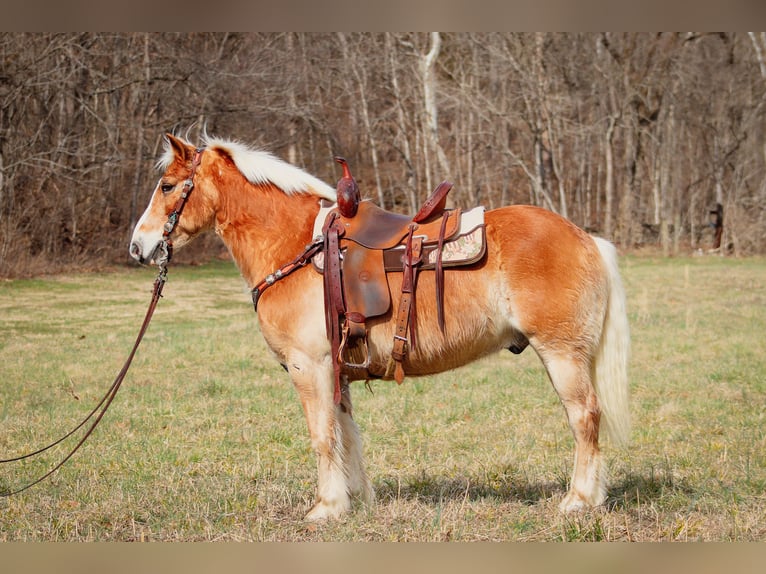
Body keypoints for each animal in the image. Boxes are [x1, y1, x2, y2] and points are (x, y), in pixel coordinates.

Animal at [130, 135, 632, 520]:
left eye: (168, 185)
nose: (138, 246)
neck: (294, 245)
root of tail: (586, 238)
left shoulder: (309, 367)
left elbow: (322, 435)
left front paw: (326, 508)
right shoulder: (337, 371)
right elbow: (346, 433)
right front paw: (355, 499)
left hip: (562, 354)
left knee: (585, 417)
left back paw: (579, 501)